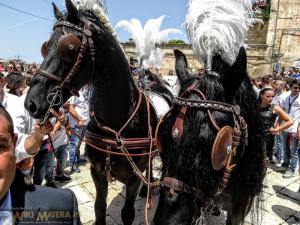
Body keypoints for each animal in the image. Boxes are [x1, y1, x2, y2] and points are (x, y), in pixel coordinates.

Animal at [23, 0, 169, 224]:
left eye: (70, 46)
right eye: (45, 47)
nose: (32, 102)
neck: (118, 123)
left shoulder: (133, 178)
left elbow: (127, 213)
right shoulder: (97, 172)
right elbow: (99, 207)